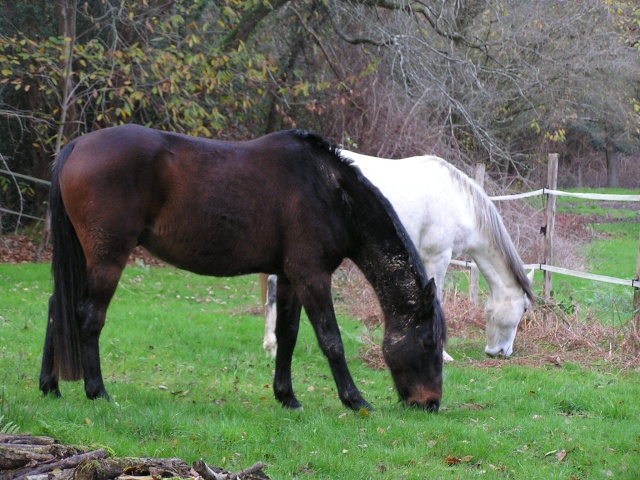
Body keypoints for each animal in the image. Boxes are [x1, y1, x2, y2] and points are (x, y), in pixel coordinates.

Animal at [38, 125, 444, 410]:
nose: (431, 403)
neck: (331, 192)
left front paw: (287, 397)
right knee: (89, 316)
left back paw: (50, 386)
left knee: (57, 309)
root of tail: (76, 146)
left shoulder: (292, 277)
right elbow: (331, 339)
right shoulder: (312, 276)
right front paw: (355, 399)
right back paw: (97, 392)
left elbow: (287, 334)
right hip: (108, 257)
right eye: (428, 342)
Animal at [262, 150, 536, 360]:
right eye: (524, 309)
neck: (461, 202)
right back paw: (272, 345)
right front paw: (442, 354)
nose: (501, 352)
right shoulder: (438, 258)